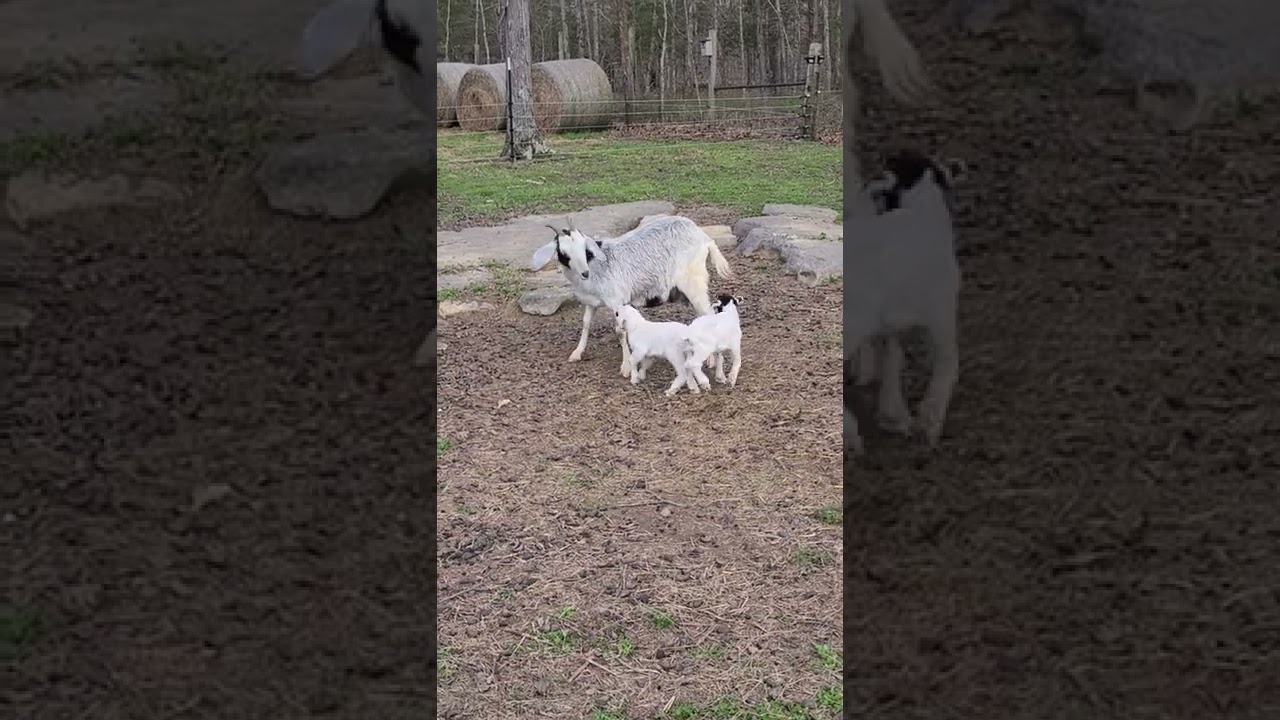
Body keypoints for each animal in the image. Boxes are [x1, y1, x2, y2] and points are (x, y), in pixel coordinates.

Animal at [530, 215, 733, 374]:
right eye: (563, 252)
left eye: (584, 248)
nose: (584, 273)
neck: (595, 267)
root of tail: (704, 237)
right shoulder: (590, 302)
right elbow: (586, 323)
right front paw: (577, 353)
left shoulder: (617, 300)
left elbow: (620, 331)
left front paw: (626, 367)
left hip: (694, 282)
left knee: (708, 314)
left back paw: (711, 360)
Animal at [843, 150, 966, 455]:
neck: (921, 213)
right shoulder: (942, 311)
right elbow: (948, 362)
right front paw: (928, 424)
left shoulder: (888, 322)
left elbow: (892, 355)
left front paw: (893, 414)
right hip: (854, 321)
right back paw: (851, 434)